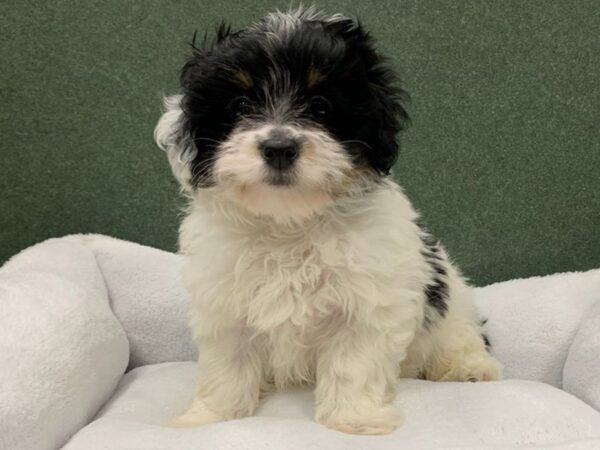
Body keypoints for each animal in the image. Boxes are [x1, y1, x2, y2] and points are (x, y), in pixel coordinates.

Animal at [155, 7, 502, 436]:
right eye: (239, 105)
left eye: (320, 107)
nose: (279, 147)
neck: (290, 222)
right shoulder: (226, 303)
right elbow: (227, 365)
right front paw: (210, 417)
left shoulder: (366, 303)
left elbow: (353, 365)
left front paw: (354, 420)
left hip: (449, 304)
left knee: (460, 335)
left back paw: (469, 369)